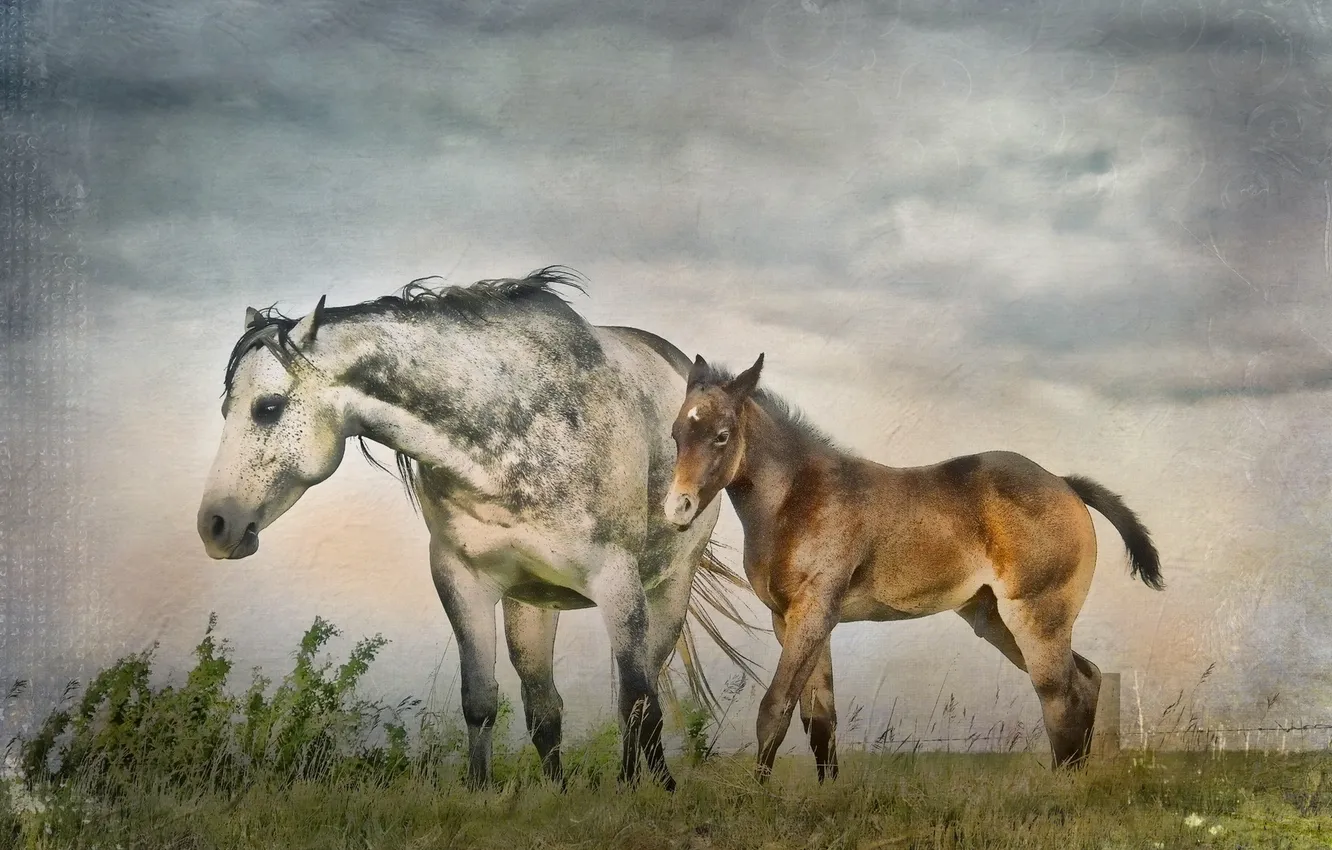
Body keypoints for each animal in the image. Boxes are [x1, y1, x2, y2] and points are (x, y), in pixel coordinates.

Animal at [196, 267, 761, 792]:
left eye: (267, 407)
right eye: (224, 408)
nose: (214, 526)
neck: (511, 427)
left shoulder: (617, 582)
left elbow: (638, 700)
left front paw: (645, 794)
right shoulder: (461, 580)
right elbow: (482, 700)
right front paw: (483, 792)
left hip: (667, 589)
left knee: (644, 691)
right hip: (532, 605)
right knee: (544, 706)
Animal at [662, 352, 1163, 784]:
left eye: (722, 435)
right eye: (675, 434)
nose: (676, 507)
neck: (796, 498)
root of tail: (1064, 483)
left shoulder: (812, 612)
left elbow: (775, 707)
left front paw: (758, 797)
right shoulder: (791, 619)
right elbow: (819, 718)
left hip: (1036, 616)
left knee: (1061, 694)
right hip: (995, 620)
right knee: (1088, 678)